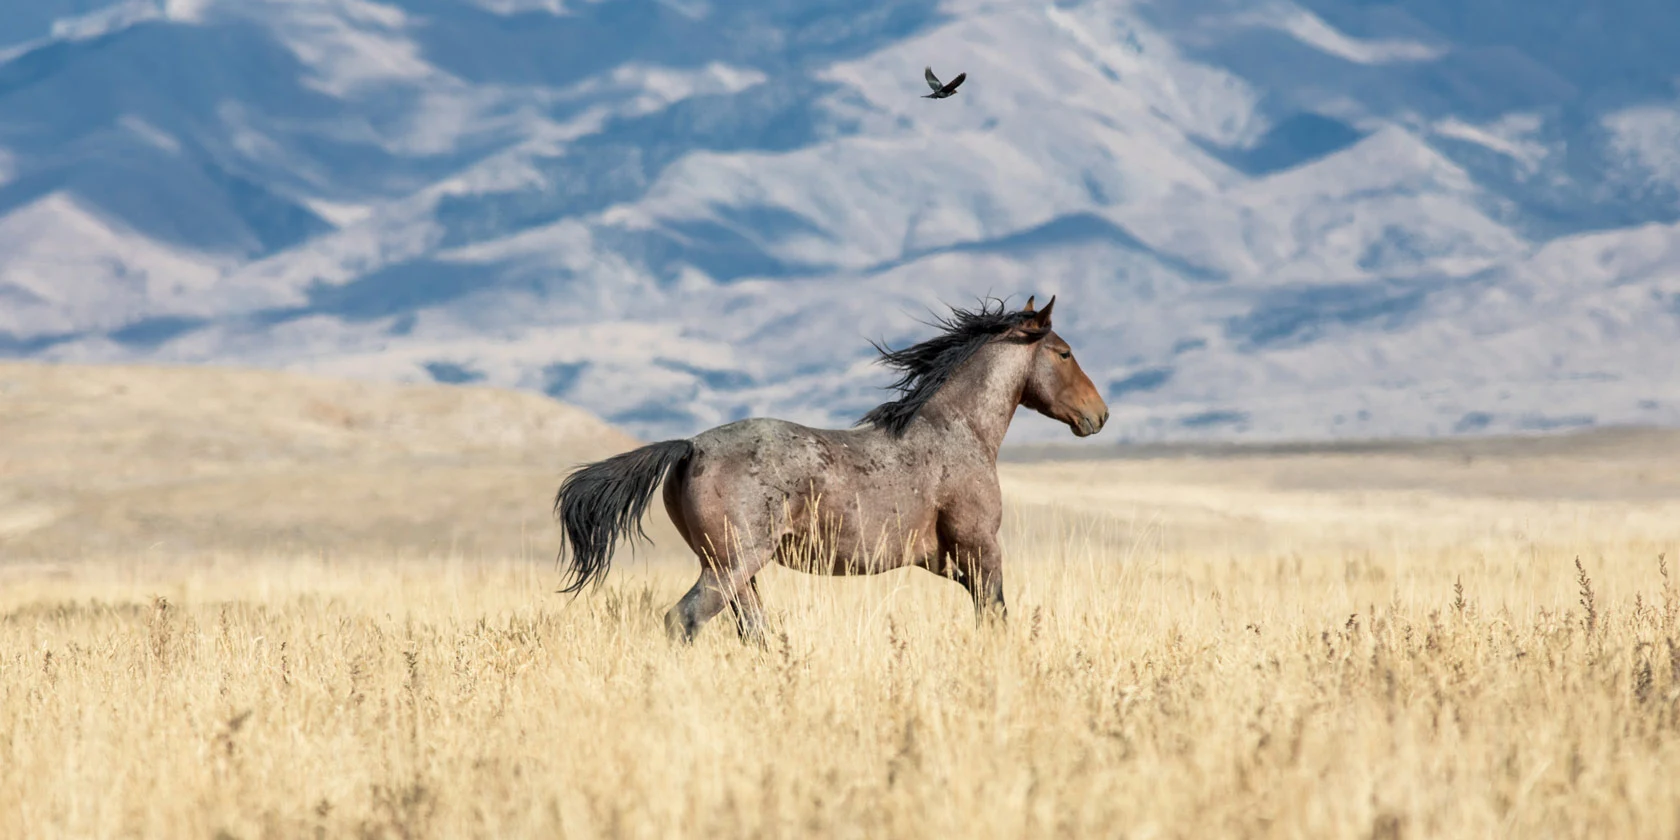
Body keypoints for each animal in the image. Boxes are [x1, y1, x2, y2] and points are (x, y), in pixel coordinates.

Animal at [547, 295, 1102, 641]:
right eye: (1064, 353)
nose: (1099, 414)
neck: (957, 430)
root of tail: (689, 448)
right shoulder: (981, 549)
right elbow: (996, 618)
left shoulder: (947, 562)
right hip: (733, 565)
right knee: (683, 620)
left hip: (733, 569)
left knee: (753, 630)